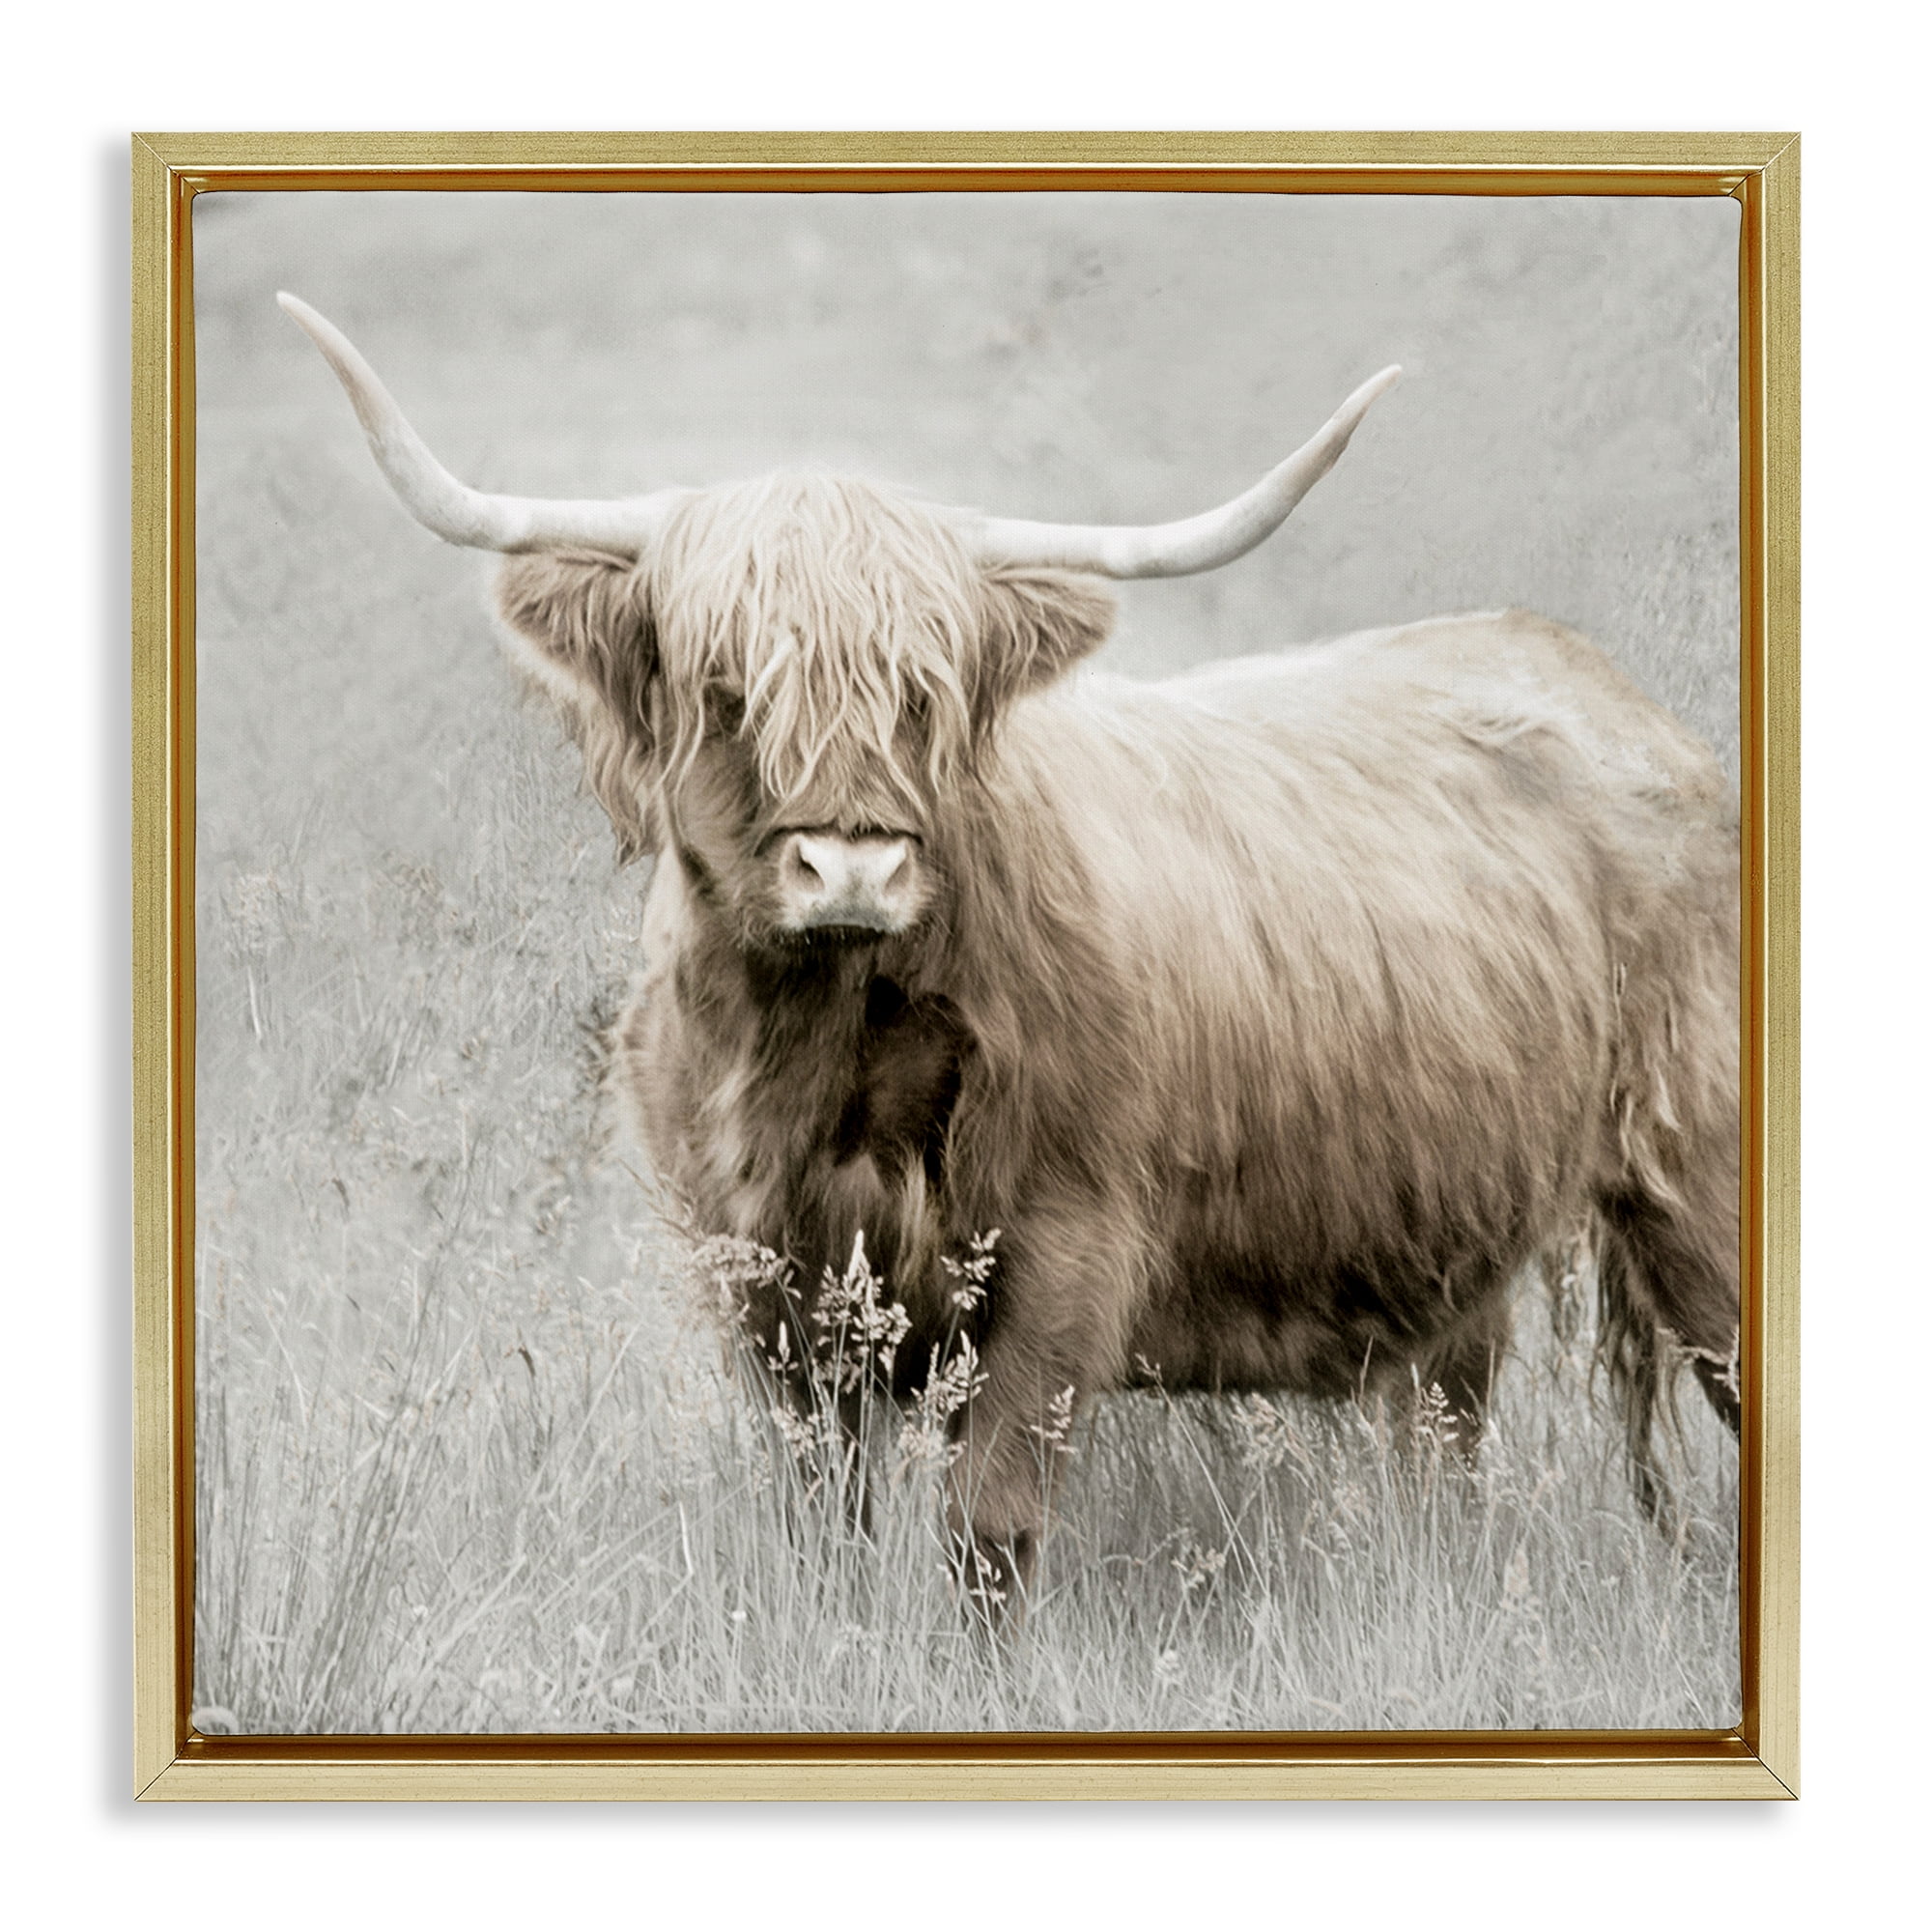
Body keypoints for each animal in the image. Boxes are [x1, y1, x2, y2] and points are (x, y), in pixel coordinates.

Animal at [280, 292, 1741, 1600]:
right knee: (1448, 1434)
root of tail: (1607, 691)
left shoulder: (1062, 1259)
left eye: (923, 694)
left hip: (1697, 1179)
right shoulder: (761, 1286)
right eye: (727, 687)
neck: (822, 1054)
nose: (851, 866)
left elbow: (988, 1535)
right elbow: (820, 1528)